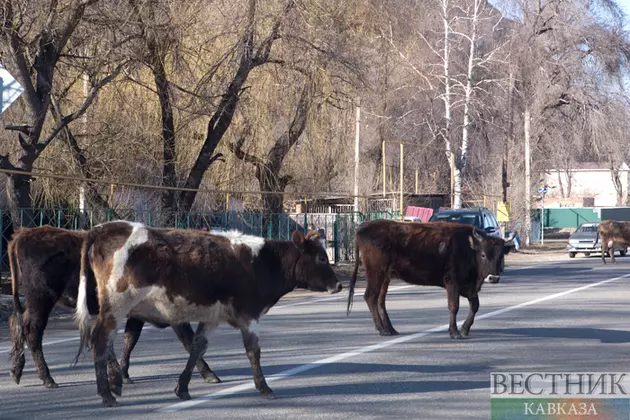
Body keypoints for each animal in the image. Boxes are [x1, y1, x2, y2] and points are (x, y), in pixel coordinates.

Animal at [6, 226, 220, 390]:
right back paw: (48, 379)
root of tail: (23, 235)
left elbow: (130, 339)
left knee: (16, 323)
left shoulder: (138, 315)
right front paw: (209, 374)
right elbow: (189, 341)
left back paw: (16, 371)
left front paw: (124, 373)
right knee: (32, 331)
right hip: (41, 300)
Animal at [74, 223, 344, 406]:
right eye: (321, 258)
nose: (339, 285)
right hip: (116, 304)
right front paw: (264, 387)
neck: (262, 262)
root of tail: (105, 227)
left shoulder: (212, 318)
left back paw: (114, 385)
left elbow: (197, 347)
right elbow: (253, 352)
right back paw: (107, 393)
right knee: (100, 339)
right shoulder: (250, 316)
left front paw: (183, 387)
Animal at [348, 220, 512, 338]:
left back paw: (390, 329)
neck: (469, 247)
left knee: (380, 301)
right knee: (371, 297)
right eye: (483, 254)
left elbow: (475, 306)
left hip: (385, 277)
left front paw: (464, 329)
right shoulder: (452, 282)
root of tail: (362, 228)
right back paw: (382, 329)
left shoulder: (470, 288)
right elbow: (454, 306)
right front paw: (454, 332)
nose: (493, 277)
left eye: (501, 255)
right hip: (376, 274)